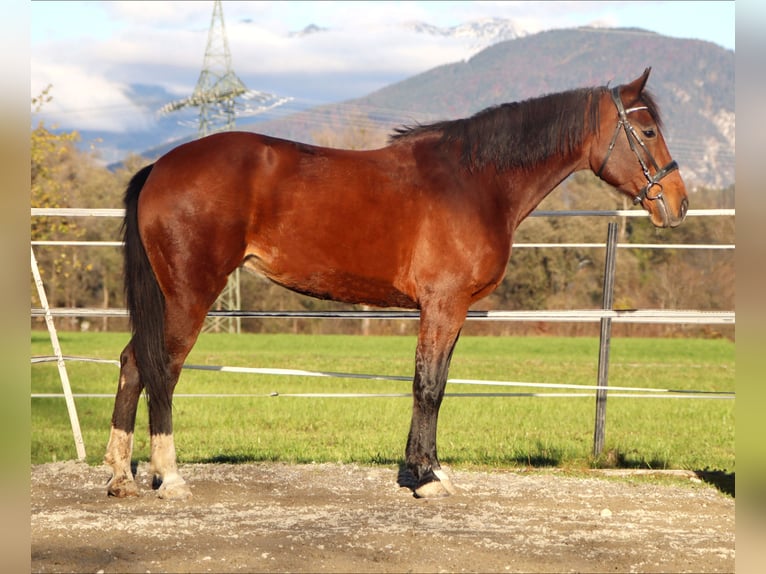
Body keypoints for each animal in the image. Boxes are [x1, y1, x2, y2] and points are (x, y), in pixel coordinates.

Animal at [104, 68, 687, 500]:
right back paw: (168, 477)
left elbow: (434, 382)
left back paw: (119, 476)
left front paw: (423, 469)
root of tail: (160, 167)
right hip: (190, 295)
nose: (678, 203)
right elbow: (428, 386)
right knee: (163, 369)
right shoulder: (443, 305)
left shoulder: (451, 310)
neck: (475, 181)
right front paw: (426, 479)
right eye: (649, 131)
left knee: (132, 362)